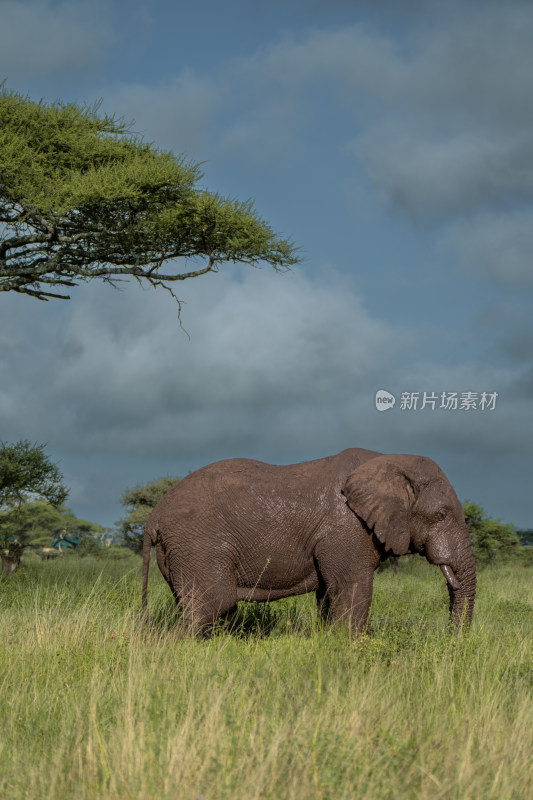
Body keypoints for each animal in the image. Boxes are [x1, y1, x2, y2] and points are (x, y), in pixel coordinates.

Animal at [141, 450, 474, 636]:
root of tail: (154, 515)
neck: (389, 463)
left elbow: (329, 595)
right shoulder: (345, 530)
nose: (449, 639)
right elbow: (353, 589)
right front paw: (348, 649)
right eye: (441, 515)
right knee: (212, 604)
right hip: (198, 544)